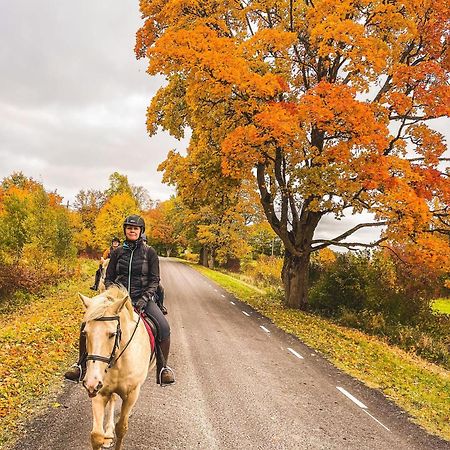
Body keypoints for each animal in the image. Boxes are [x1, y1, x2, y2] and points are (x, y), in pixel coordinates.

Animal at [78, 286, 155, 448]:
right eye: (85, 333)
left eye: (112, 334)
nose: (91, 382)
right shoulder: (99, 392)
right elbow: (96, 435)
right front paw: (104, 436)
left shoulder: (131, 394)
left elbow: (121, 429)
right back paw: (108, 433)